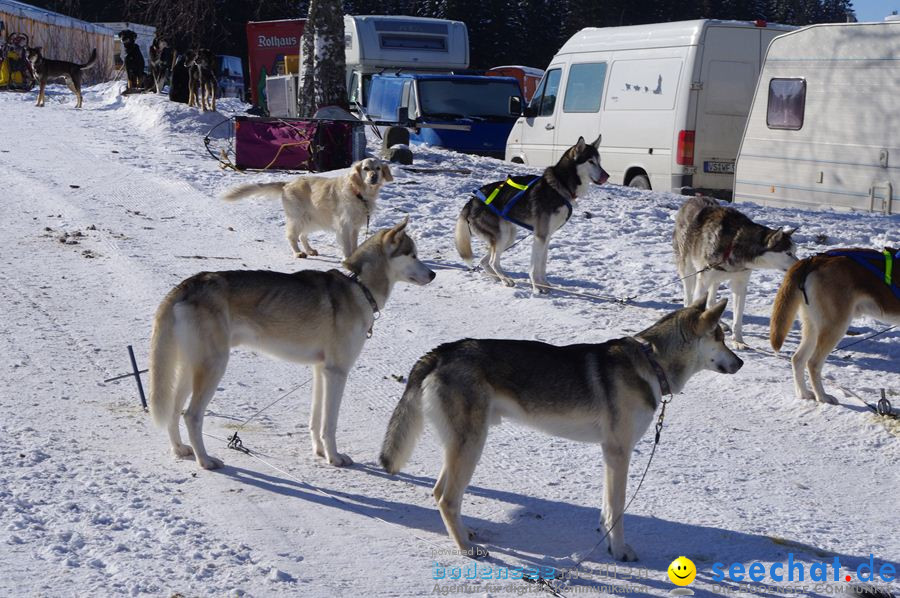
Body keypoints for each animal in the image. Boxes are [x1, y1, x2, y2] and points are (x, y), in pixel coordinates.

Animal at [149, 220, 436, 474]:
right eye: (412, 254)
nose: (433, 274)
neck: (359, 285)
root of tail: (188, 284)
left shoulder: (321, 370)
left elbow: (316, 421)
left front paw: (320, 452)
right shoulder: (337, 372)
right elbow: (329, 424)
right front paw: (334, 458)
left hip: (190, 369)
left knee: (175, 410)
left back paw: (180, 450)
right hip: (214, 366)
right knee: (191, 415)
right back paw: (205, 461)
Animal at [222, 158, 394, 258]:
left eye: (378, 168)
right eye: (366, 168)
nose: (374, 177)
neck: (358, 191)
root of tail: (287, 183)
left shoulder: (355, 227)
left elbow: (354, 244)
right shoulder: (344, 225)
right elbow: (346, 245)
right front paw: (347, 258)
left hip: (312, 218)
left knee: (303, 235)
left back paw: (310, 250)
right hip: (297, 218)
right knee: (292, 236)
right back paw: (298, 252)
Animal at [380, 300, 740, 564]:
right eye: (720, 338)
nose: (741, 362)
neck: (652, 364)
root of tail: (439, 352)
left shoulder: (610, 453)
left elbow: (606, 508)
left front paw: (607, 543)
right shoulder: (619, 452)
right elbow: (617, 509)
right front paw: (620, 551)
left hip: (463, 446)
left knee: (441, 493)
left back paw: (466, 534)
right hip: (471, 446)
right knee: (446, 498)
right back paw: (466, 549)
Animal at [454, 137, 608, 296]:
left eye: (599, 161)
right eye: (590, 161)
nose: (606, 176)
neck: (559, 187)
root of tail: (471, 202)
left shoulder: (547, 236)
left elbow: (542, 265)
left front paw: (545, 285)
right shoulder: (540, 236)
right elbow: (534, 267)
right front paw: (537, 288)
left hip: (509, 236)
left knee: (484, 261)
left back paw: (498, 278)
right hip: (503, 235)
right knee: (492, 261)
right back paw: (505, 280)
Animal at [672, 195, 800, 350]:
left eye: (794, 252)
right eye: (788, 253)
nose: (799, 264)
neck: (734, 243)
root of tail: (693, 198)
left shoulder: (740, 284)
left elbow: (738, 318)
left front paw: (738, 341)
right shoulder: (703, 280)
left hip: (715, 278)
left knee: (711, 298)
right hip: (688, 268)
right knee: (688, 296)